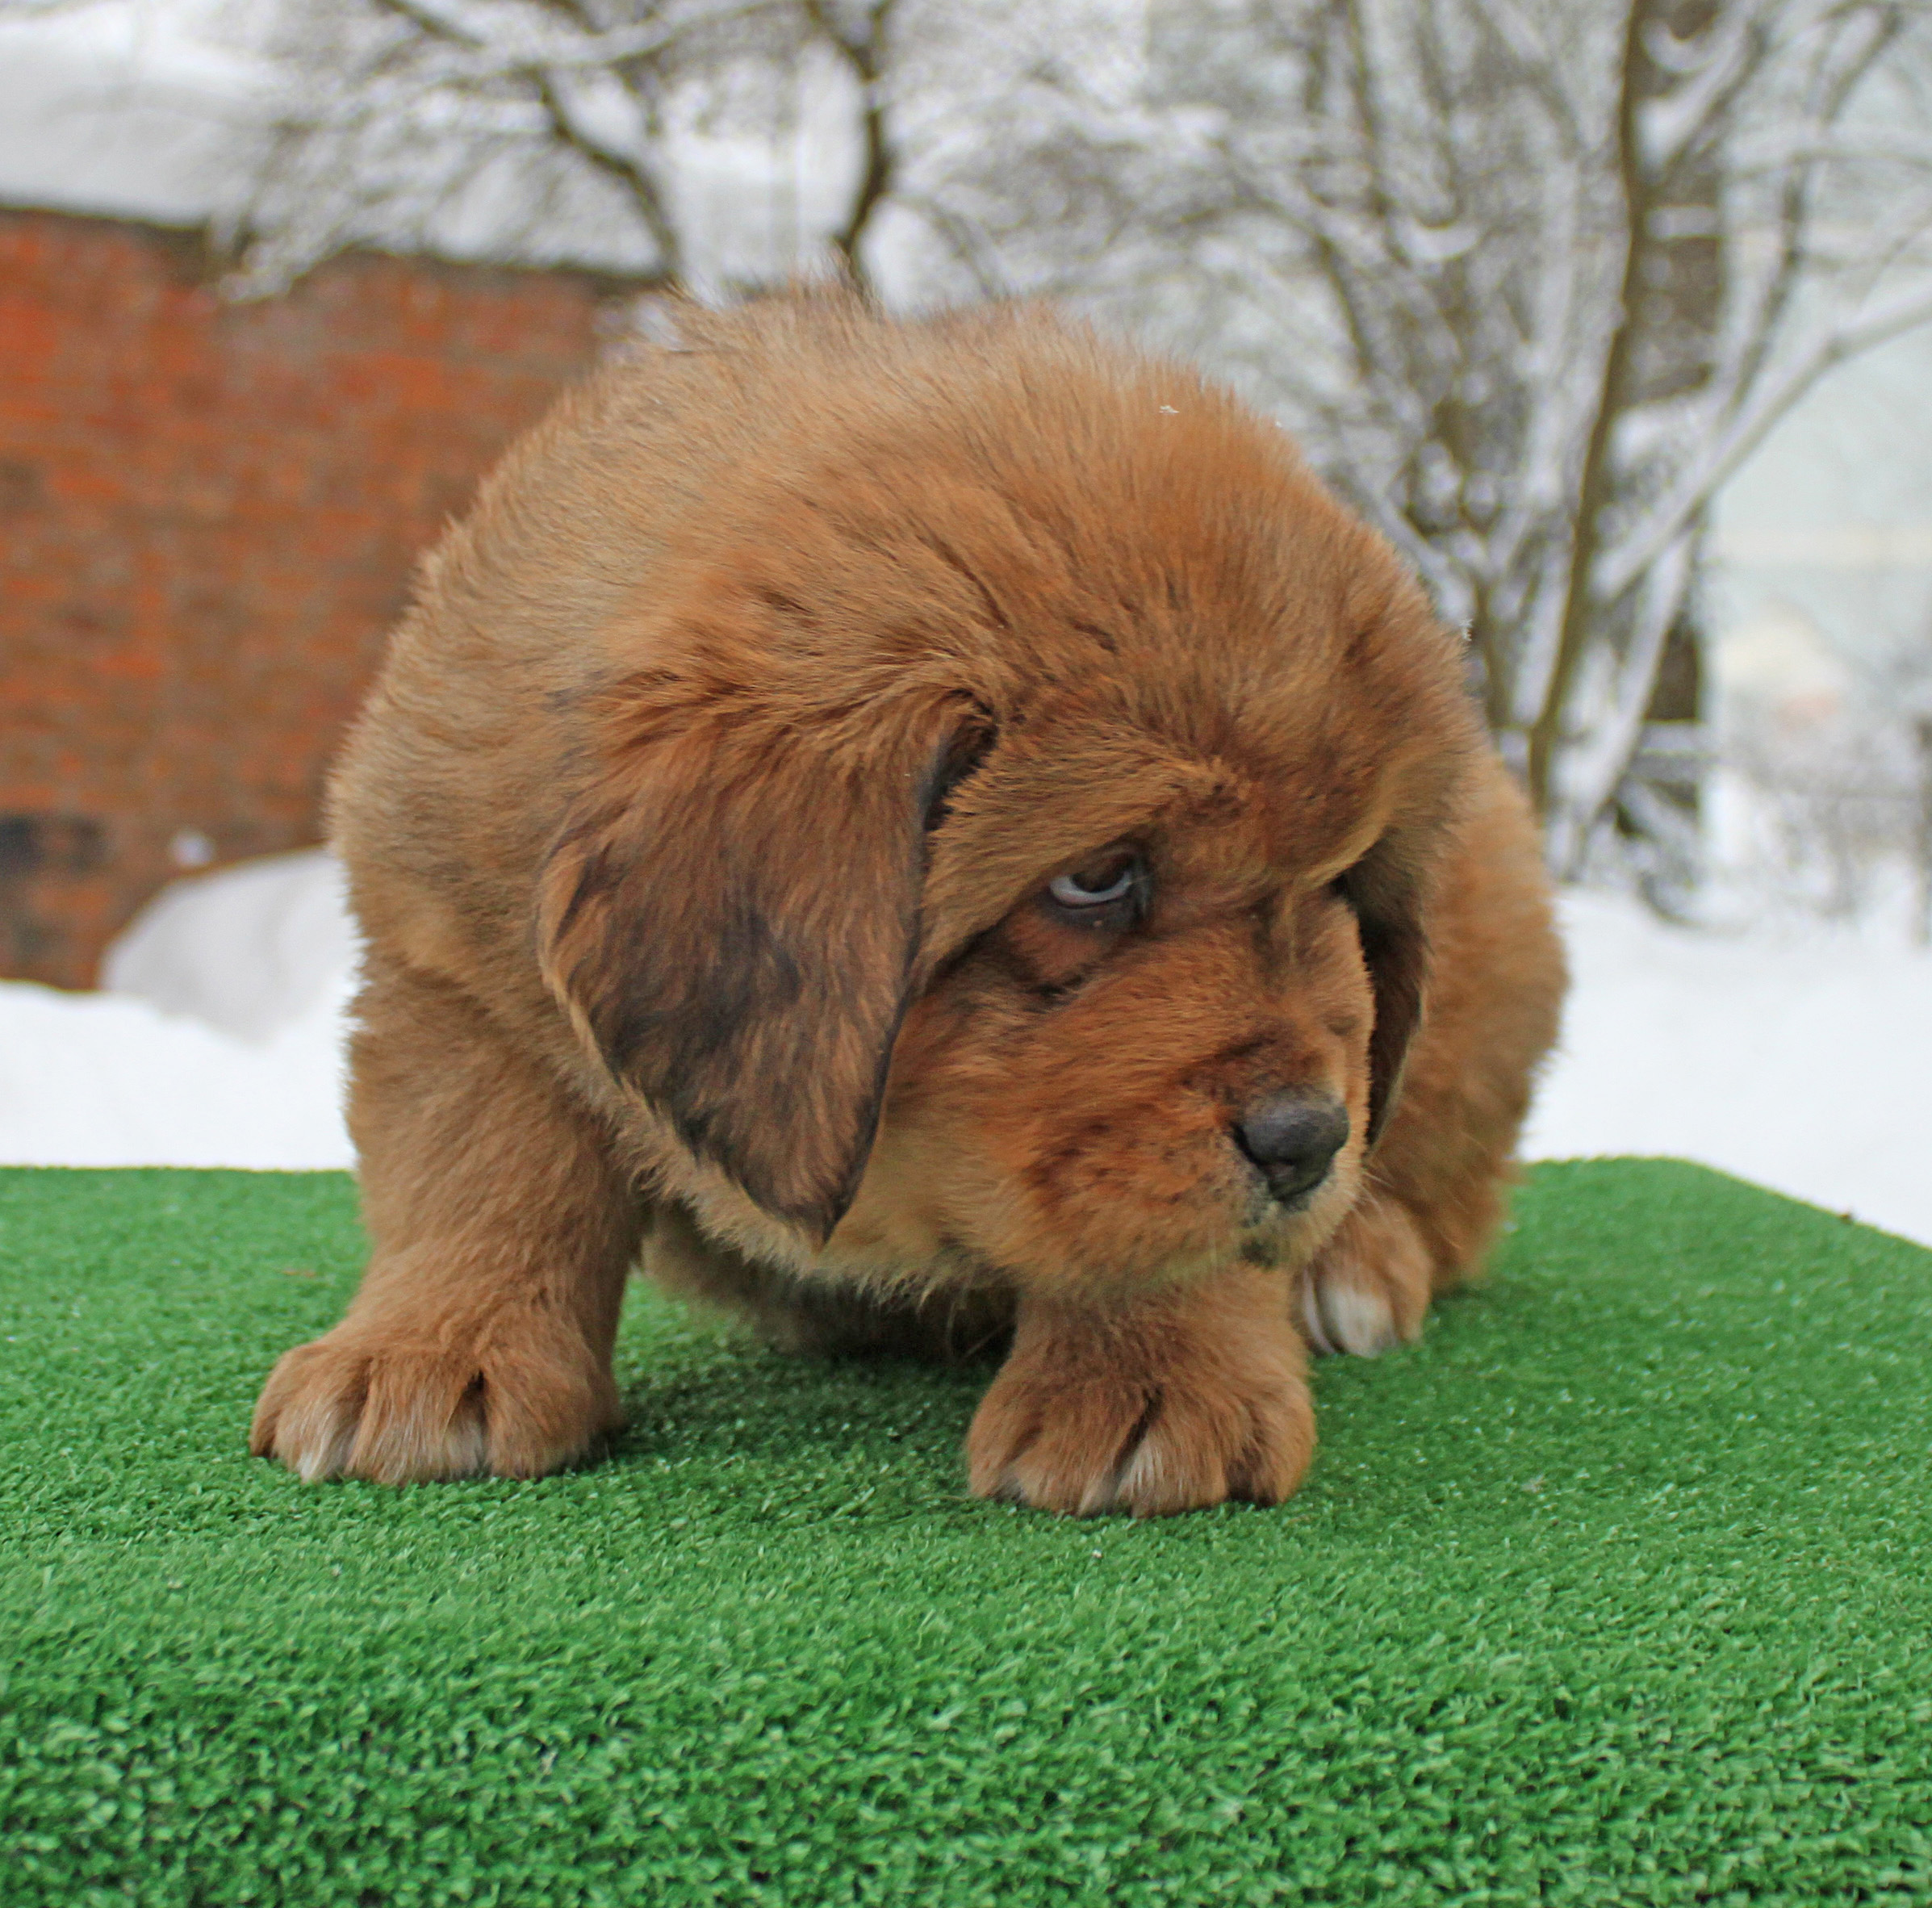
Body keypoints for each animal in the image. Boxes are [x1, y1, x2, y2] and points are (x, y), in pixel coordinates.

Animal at [251, 292, 1565, 1517]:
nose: (1306, 1142)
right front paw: (432, 1359)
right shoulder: (451, 964)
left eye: (1345, 880)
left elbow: (1139, 1219)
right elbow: (486, 1165)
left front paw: (1146, 1379)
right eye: (1095, 878)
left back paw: (1357, 1262)